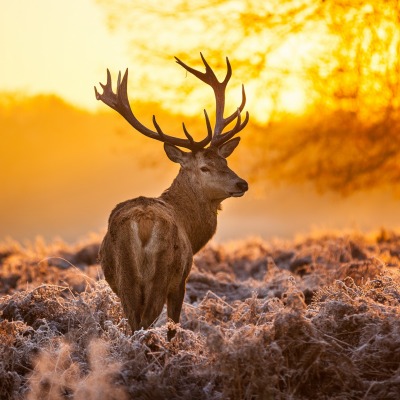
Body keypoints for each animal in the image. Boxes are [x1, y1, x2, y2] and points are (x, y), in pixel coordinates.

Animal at [95, 54, 248, 340]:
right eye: (205, 167)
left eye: (225, 160)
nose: (241, 183)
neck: (191, 228)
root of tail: (143, 223)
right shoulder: (181, 280)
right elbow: (173, 327)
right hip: (162, 274)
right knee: (146, 323)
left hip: (124, 278)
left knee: (134, 323)